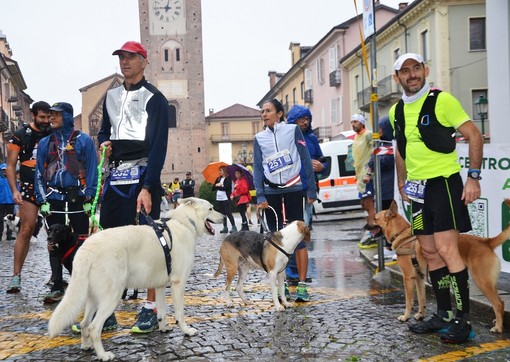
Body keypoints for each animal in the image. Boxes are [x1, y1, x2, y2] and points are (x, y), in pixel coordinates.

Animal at [48, 198, 223, 362]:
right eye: (211, 208)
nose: (224, 217)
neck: (185, 223)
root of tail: (87, 248)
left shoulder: (160, 285)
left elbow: (162, 311)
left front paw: (164, 327)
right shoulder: (177, 284)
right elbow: (180, 314)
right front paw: (186, 331)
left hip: (93, 297)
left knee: (85, 324)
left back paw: (86, 346)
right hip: (113, 295)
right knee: (93, 327)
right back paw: (103, 355)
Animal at [374, 199, 510, 332]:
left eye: (375, 218)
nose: (368, 223)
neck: (402, 235)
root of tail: (486, 241)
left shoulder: (408, 278)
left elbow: (409, 300)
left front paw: (405, 317)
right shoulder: (419, 278)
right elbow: (421, 299)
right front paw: (420, 315)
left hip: (482, 281)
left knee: (498, 304)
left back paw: (498, 327)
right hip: (488, 282)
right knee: (501, 302)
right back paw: (498, 322)